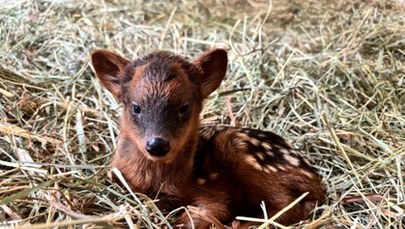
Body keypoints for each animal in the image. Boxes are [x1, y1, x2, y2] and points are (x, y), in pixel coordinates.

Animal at [90, 47, 322, 227]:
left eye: (184, 108)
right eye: (136, 107)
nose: (157, 145)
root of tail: (316, 179)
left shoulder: (215, 195)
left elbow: (204, 214)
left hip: (237, 147)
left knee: (291, 203)